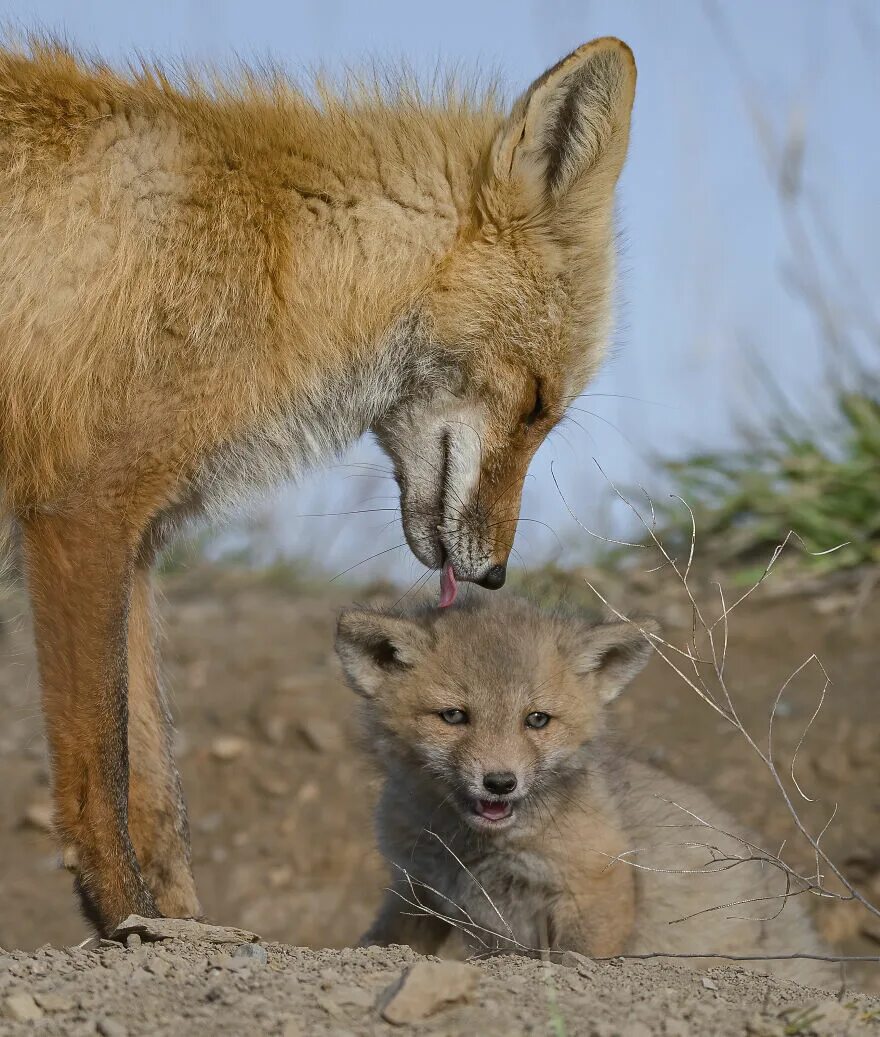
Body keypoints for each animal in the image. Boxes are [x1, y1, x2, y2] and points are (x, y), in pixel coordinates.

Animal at [0, 36, 634, 937]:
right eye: (540, 400)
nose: (495, 573)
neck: (273, 260)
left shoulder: (135, 544)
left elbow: (157, 787)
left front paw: (180, 923)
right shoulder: (78, 515)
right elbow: (102, 769)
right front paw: (124, 919)